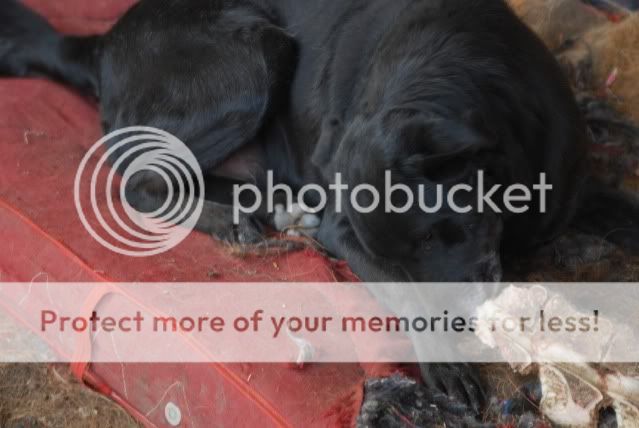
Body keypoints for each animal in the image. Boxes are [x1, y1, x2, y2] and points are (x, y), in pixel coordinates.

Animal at [1, 0, 639, 418]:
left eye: (433, 235)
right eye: (417, 246)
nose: (466, 326)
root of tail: (104, 40)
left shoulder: (575, 188)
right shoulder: (348, 228)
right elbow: (404, 293)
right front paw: (447, 367)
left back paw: (271, 206)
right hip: (252, 57)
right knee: (136, 181)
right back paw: (234, 220)